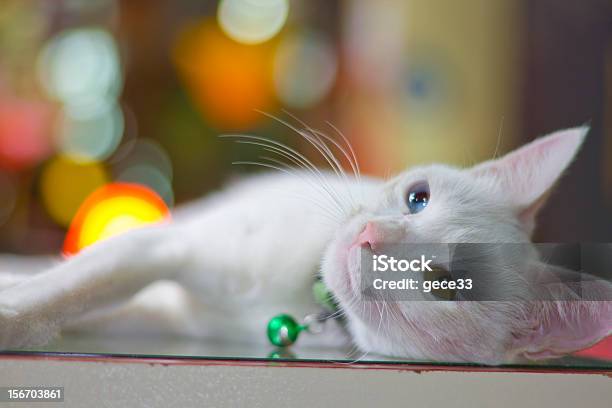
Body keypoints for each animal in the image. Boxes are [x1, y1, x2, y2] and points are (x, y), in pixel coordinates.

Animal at [0, 125, 608, 364]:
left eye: (442, 285)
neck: (306, 302)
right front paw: (18, 313)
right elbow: (78, 283)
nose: (368, 236)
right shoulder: (166, 245)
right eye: (418, 198)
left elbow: (94, 300)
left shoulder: (168, 316)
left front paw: (18, 312)